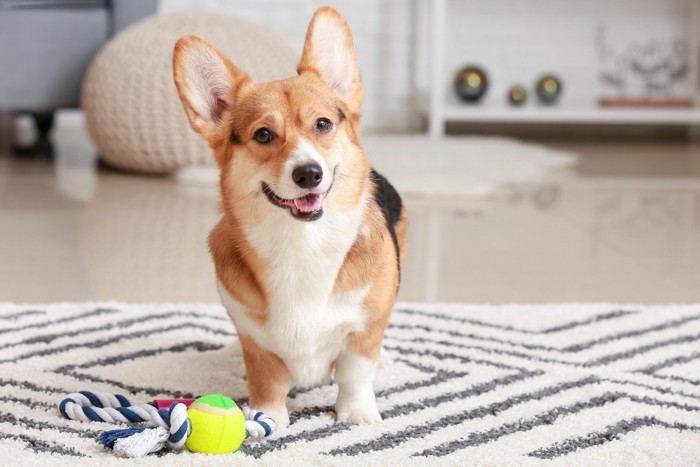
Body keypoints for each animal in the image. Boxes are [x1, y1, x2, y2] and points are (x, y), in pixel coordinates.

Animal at [172, 6, 408, 432]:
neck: (300, 245)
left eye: (323, 124)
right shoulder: (257, 341)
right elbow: (266, 378)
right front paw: (267, 417)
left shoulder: (362, 330)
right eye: (264, 134)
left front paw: (357, 414)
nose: (309, 174)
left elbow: (354, 372)